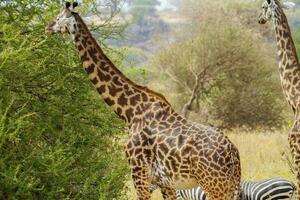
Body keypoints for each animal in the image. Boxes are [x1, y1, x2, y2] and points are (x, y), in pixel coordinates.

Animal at [45, 1, 241, 200]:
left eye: (59, 17)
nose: (47, 26)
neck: (129, 111)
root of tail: (234, 155)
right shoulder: (164, 182)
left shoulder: (138, 172)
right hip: (228, 186)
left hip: (214, 185)